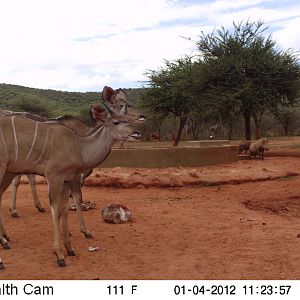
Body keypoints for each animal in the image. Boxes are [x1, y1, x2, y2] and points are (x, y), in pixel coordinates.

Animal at [0, 86, 144, 268]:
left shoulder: (67, 180)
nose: (137, 133)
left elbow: (65, 208)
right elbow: (58, 209)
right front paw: (60, 253)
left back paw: (5, 239)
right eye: (117, 121)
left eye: (127, 119)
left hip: (8, 171)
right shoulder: (55, 177)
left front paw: (69, 247)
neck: (79, 145)